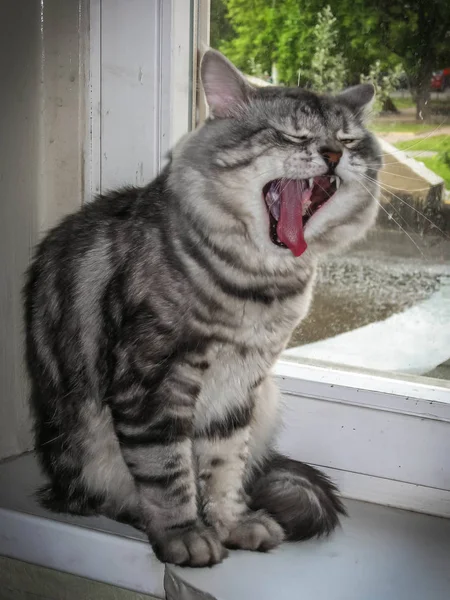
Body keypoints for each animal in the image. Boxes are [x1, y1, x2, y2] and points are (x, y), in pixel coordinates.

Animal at [23, 48, 380, 568]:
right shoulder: (151, 380)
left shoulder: (240, 382)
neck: (258, 285)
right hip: (86, 453)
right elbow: (167, 473)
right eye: (294, 134)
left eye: (350, 141)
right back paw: (136, 515)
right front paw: (185, 535)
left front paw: (231, 524)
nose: (333, 154)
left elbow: (224, 465)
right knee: (99, 496)